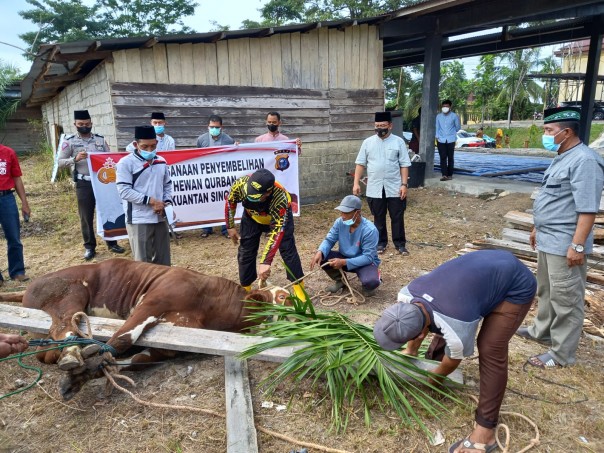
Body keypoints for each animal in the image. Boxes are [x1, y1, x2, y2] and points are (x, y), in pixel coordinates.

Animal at [10, 258, 290, 400]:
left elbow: (137, 360)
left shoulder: (176, 341)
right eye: (281, 299)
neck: (210, 302)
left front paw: (92, 372)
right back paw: (70, 355)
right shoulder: (153, 302)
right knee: (63, 327)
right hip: (69, 294)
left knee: (48, 348)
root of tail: (30, 286)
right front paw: (92, 363)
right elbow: (123, 338)